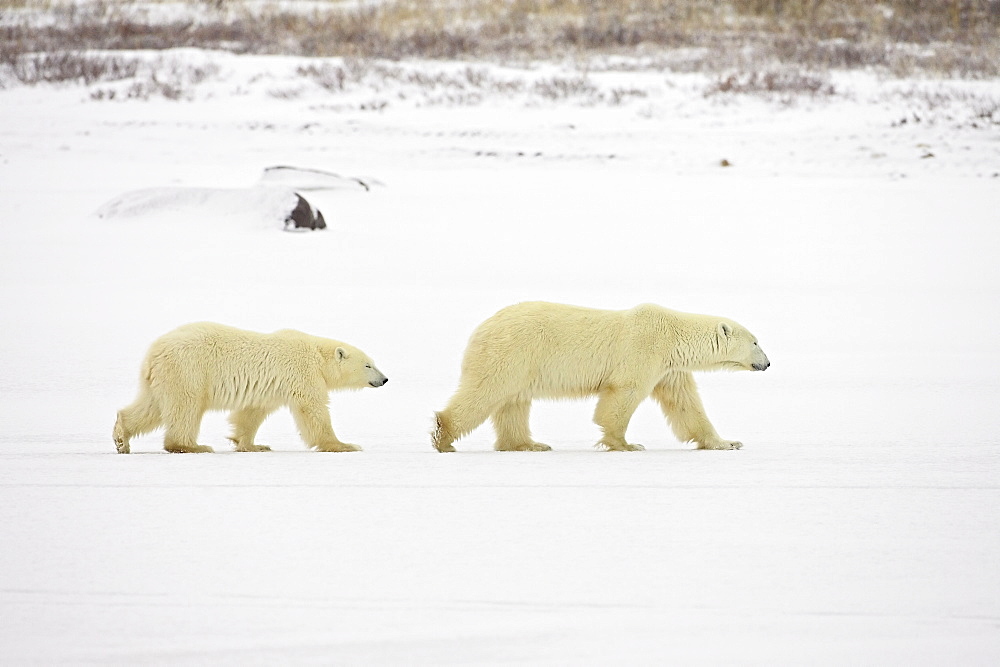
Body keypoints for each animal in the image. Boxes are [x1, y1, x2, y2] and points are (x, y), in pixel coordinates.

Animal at [113, 324, 386, 454]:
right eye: (368, 364)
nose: (384, 379)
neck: (317, 355)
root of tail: (154, 352)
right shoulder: (302, 372)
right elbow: (312, 410)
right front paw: (345, 445)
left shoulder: (270, 386)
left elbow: (251, 413)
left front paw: (253, 445)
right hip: (189, 370)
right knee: (186, 406)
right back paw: (192, 446)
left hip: (162, 378)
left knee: (151, 407)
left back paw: (121, 438)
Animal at [434, 302, 768, 454]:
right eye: (755, 341)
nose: (767, 363)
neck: (672, 335)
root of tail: (482, 328)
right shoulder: (644, 351)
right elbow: (623, 395)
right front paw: (627, 444)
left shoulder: (669, 370)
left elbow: (686, 406)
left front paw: (728, 442)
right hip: (511, 353)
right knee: (485, 392)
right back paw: (443, 437)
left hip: (520, 364)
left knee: (513, 403)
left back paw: (529, 444)